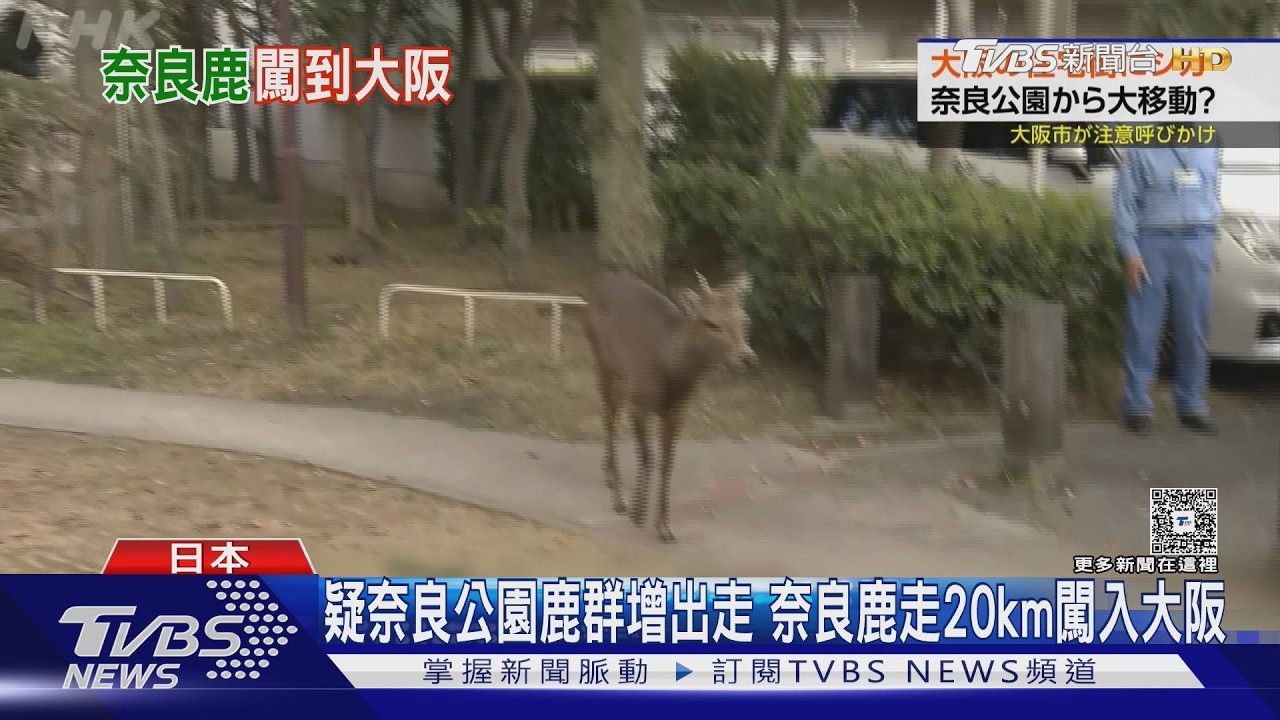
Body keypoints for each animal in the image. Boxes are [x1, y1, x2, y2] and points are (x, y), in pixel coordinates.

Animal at [581, 270, 756, 543]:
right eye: (711, 322)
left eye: (745, 319)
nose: (747, 358)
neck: (670, 371)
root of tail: (598, 286)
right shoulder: (639, 402)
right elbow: (647, 456)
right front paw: (637, 513)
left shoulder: (677, 412)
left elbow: (667, 462)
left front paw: (664, 527)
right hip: (601, 359)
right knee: (608, 417)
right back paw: (618, 497)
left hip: (621, 377)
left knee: (611, 413)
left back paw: (608, 474)